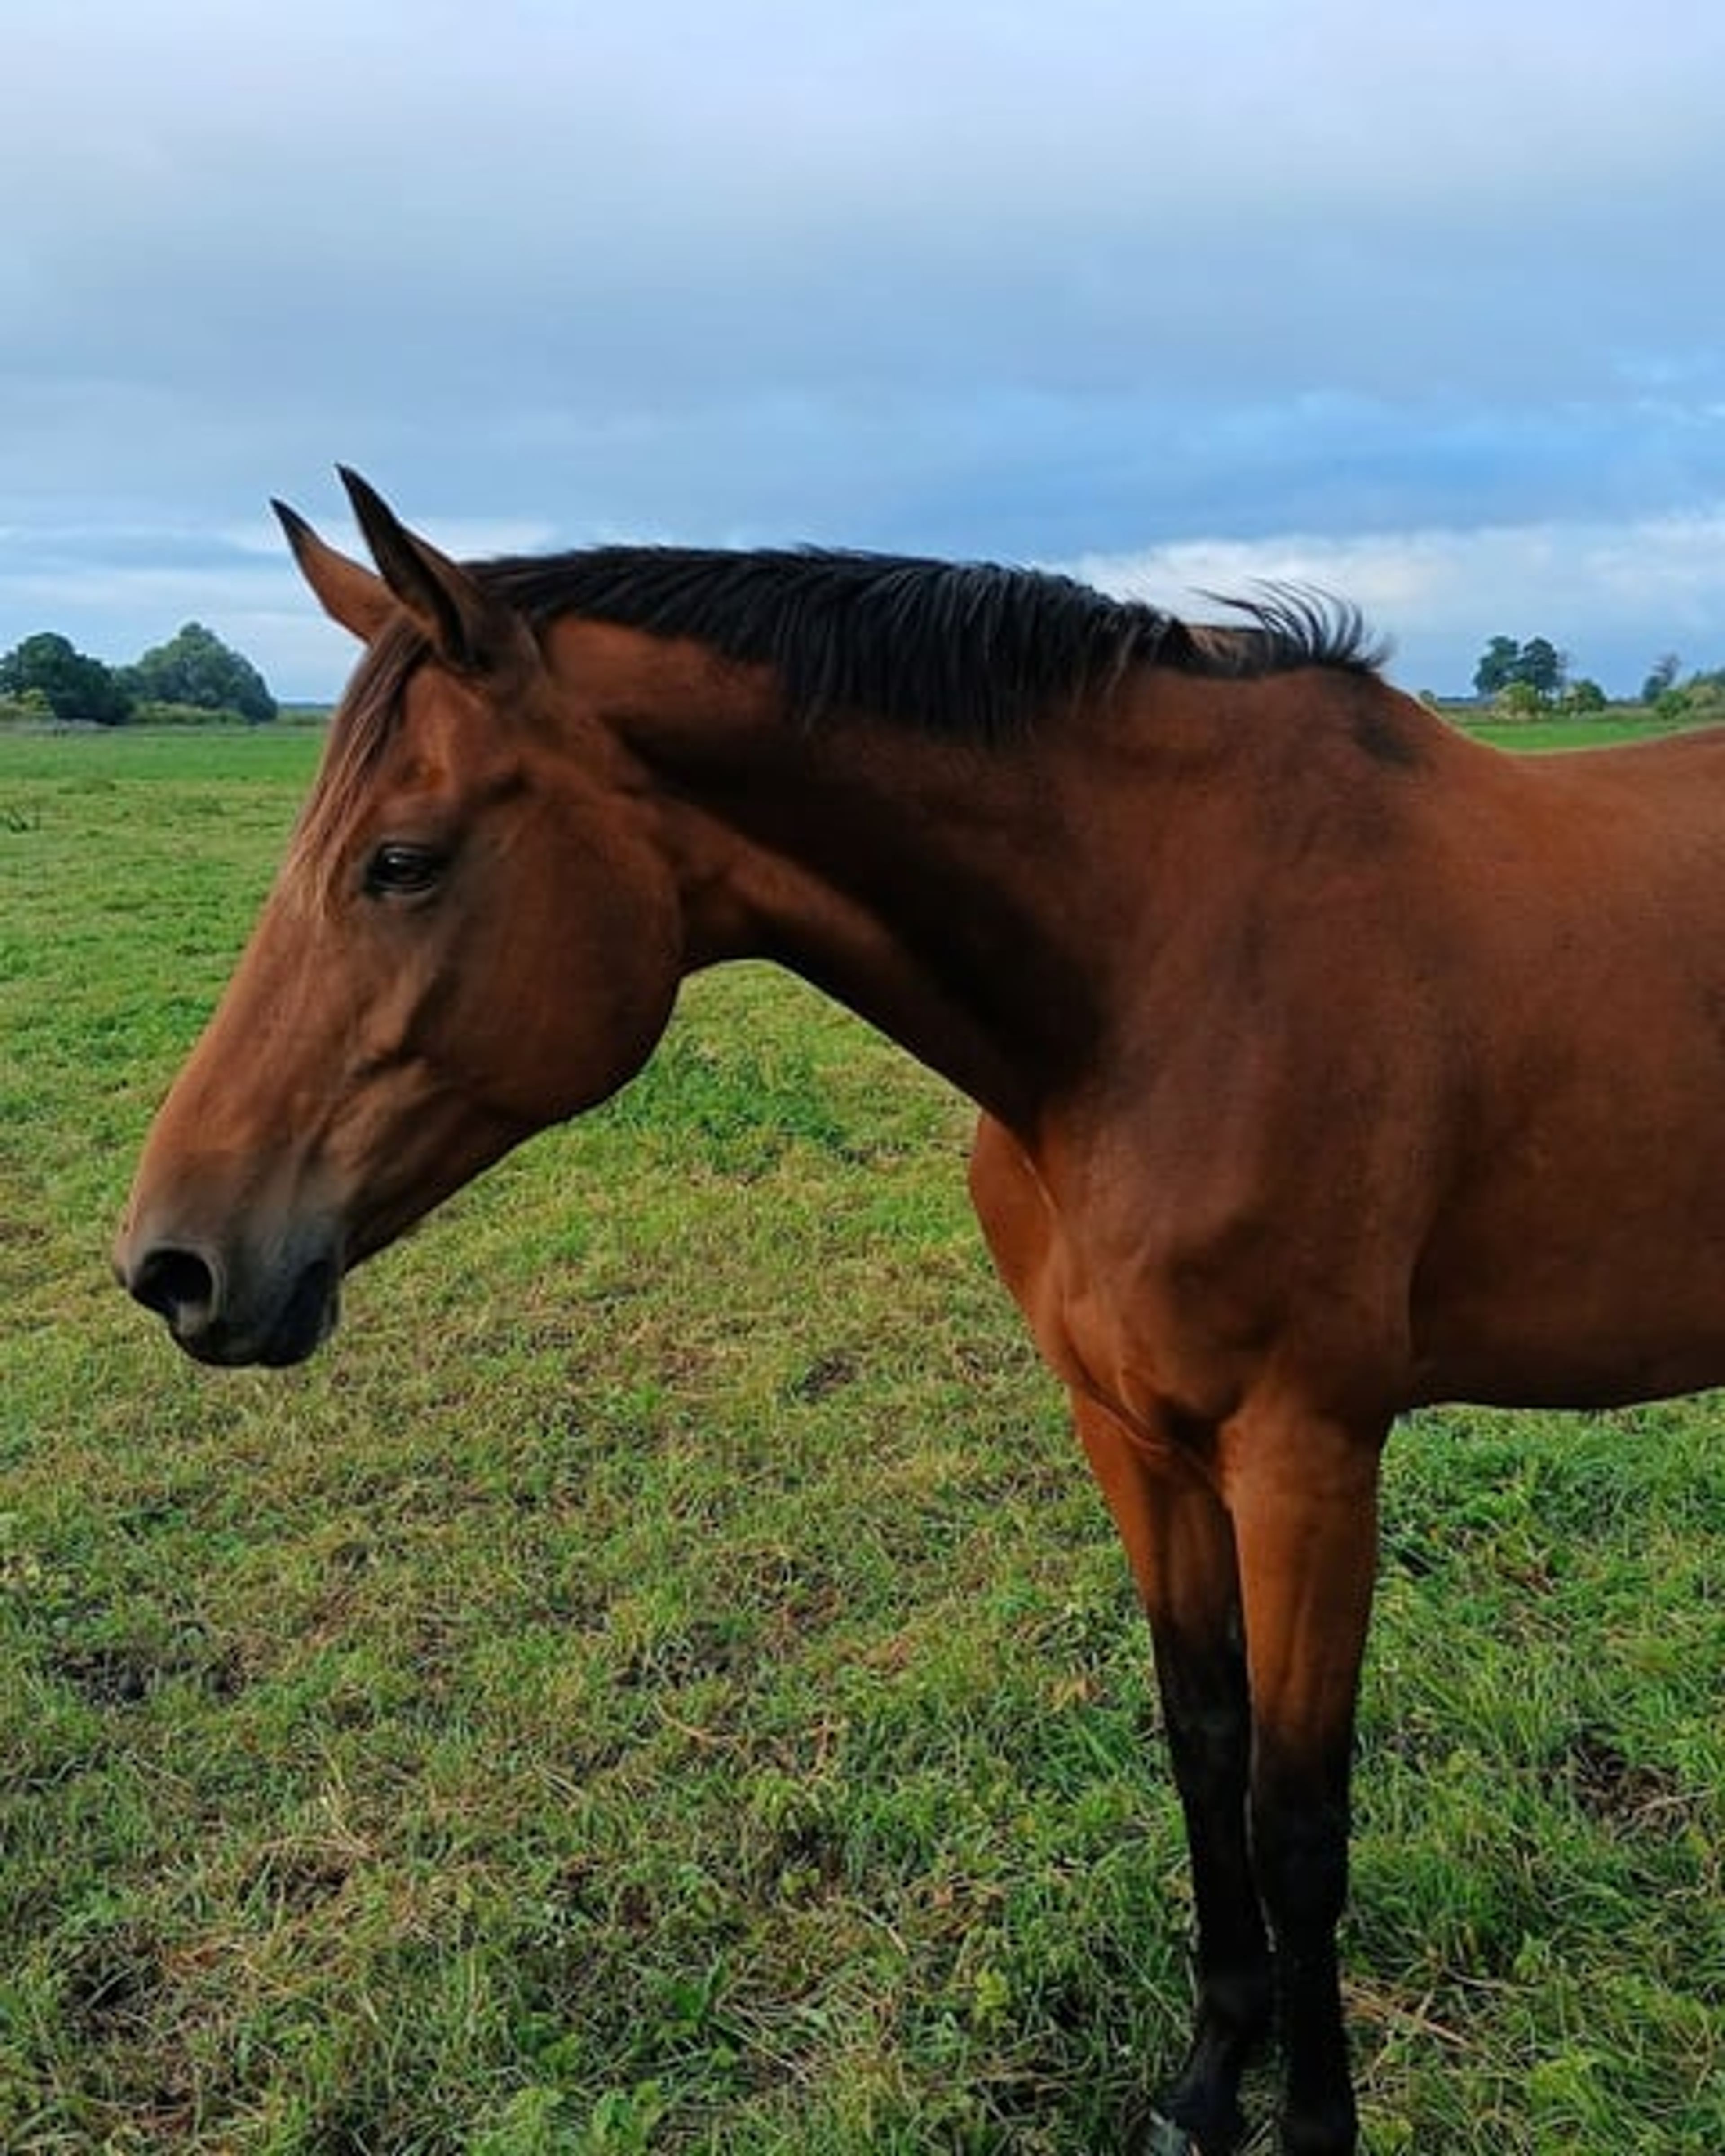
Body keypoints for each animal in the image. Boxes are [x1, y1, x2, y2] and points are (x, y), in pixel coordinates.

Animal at [114, 471, 1725, 2155]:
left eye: (404, 861)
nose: (175, 1261)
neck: (1166, 974)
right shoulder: (1133, 1435)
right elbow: (1202, 1743)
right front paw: (1206, 2076)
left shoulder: (1308, 1458)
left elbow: (1299, 1819)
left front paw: (1310, 2124)